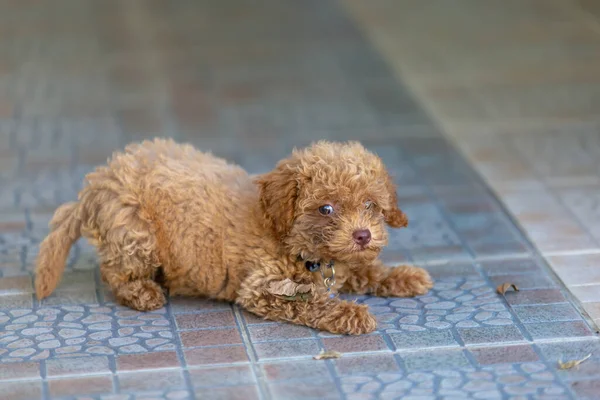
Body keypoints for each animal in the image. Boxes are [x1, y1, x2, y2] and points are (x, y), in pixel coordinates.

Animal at [36, 139, 432, 332]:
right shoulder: (262, 288)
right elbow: (311, 302)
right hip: (134, 231)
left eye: (370, 204)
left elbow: (365, 271)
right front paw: (350, 313)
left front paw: (403, 276)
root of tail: (97, 182)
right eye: (326, 209)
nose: (362, 235)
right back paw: (143, 292)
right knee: (115, 272)